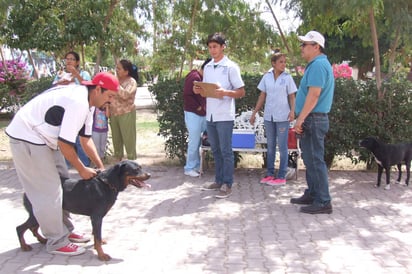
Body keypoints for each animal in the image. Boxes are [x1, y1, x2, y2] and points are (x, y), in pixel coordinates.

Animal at [17, 161, 151, 262]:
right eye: (135, 169)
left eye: (141, 167)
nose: (149, 175)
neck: (108, 184)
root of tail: (25, 192)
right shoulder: (97, 217)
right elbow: (97, 236)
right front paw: (102, 255)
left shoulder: (96, 218)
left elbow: (96, 235)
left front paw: (99, 245)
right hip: (42, 212)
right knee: (20, 228)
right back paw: (24, 246)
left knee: (33, 227)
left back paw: (42, 240)